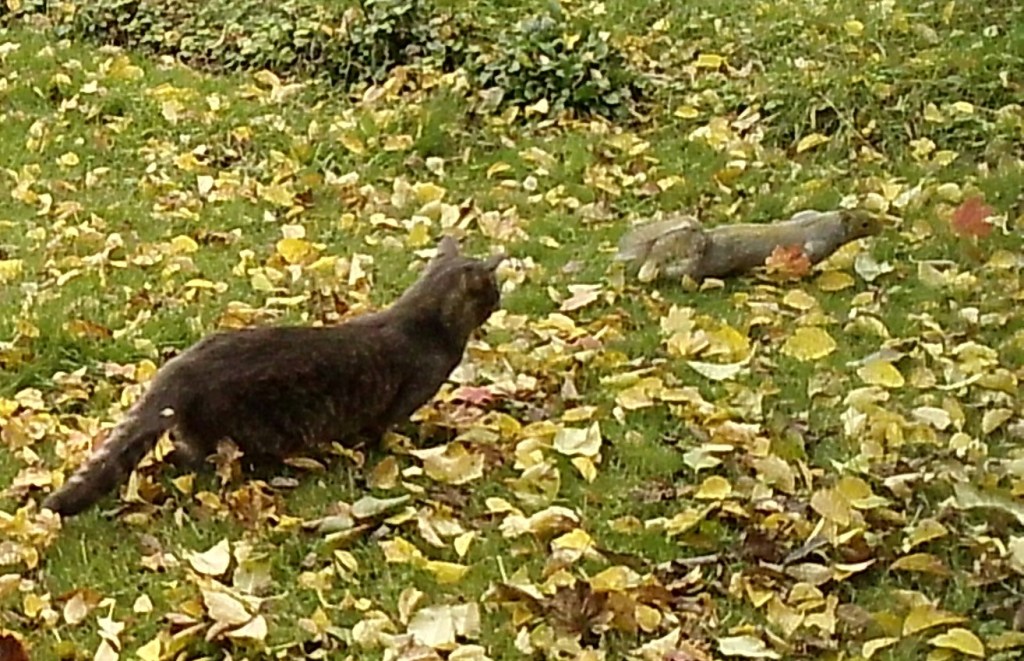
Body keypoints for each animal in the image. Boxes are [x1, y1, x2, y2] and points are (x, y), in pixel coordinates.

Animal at [41, 235, 506, 518]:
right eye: (494, 293)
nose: (500, 303)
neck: (426, 323)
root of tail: (178, 368)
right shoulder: (398, 405)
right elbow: (386, 432)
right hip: (245, 432)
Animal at [614, 209, 883, 282]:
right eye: (865, 223)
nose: (881, 227)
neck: (829, 222)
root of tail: (707, 240)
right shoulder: (817, 240)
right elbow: (807, 254)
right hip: (714, 263)